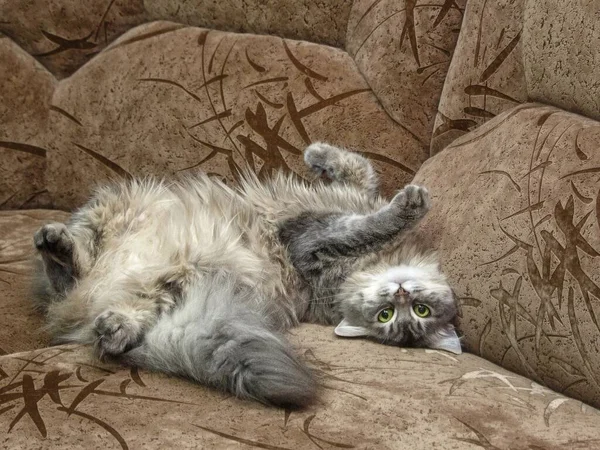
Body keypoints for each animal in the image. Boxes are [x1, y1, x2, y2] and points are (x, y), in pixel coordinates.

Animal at [31, 142, 460, 410]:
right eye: (393, 314)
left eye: (416, 313)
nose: (400, 294)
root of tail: (82, 312)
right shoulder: (334, 212)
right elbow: (359, 169)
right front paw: (316, 153)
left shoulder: (311, 241)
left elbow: (367, 223)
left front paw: (411, 203)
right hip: (109, 209)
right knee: (72, 270)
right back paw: (56, 244)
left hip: (178, 282)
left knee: (96, 303)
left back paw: (110, 326)